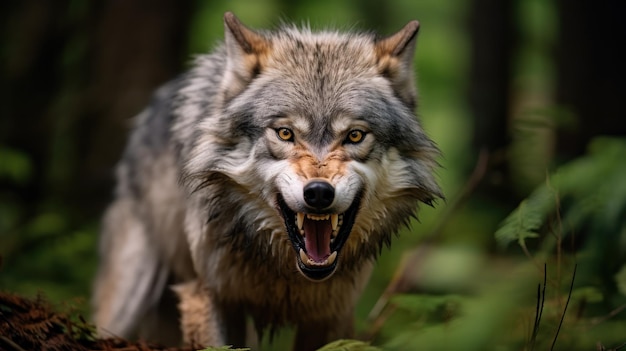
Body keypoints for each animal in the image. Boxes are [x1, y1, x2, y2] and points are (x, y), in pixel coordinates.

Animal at [92, 12, 442, 351]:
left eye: (355, 135)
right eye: (285, 133)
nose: (318, 193)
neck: (283, 271)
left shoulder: (333, 314)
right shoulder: (208, 295)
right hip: (129, 294)